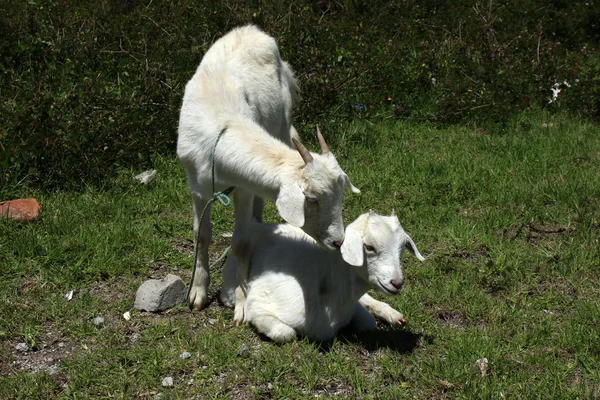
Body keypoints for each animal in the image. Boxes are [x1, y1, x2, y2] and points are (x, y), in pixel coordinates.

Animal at [176, 25, 358, 322]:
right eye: (312, 199)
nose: (338, 241)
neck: (220, 126)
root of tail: (252, 30)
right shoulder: (196, 187)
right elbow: (201, 235)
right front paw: (197, 294)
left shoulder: (244, 189)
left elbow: (241, 242)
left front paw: (240, 305)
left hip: (282, 119)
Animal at [220, 211, 426, 342]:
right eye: (369, 247)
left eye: (402, 248)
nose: (397, 283)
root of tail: (257, 226)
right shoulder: (259, 304)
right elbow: (285, 332)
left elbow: (368, 322)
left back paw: (393, 315)